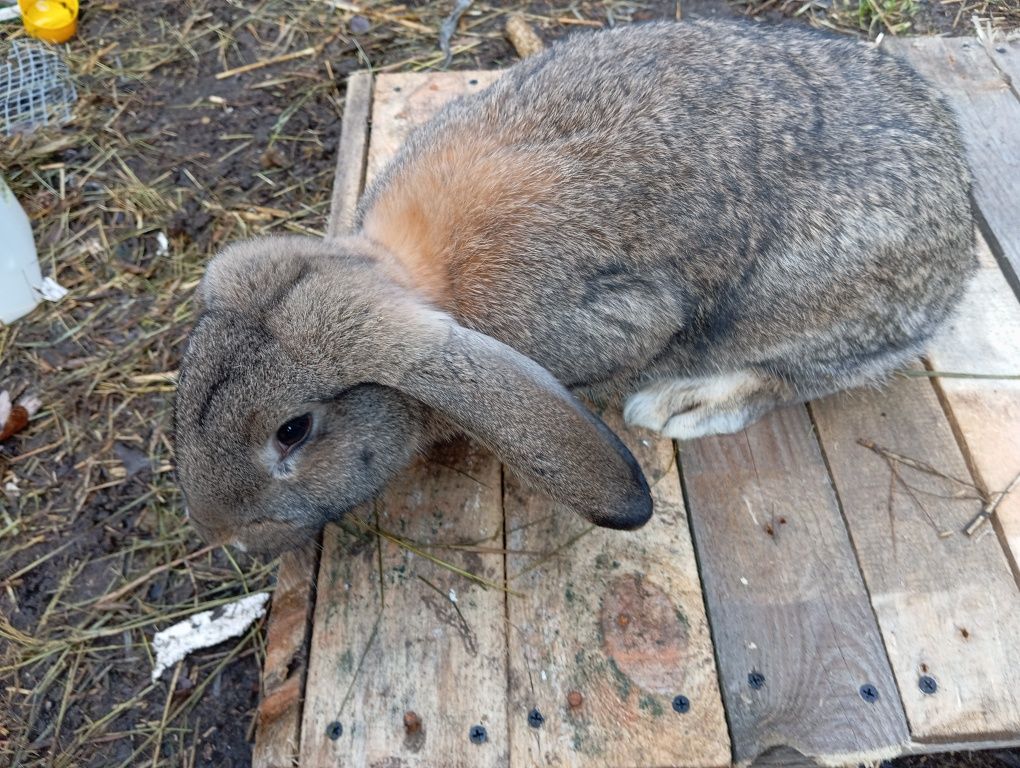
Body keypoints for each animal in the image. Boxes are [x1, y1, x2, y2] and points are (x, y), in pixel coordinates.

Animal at [171, 20, 975, 554]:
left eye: (293, 431)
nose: (221, 534)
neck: (413, 276)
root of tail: (960, 246)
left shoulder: (617, 320)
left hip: (807, 307)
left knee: (799, 377)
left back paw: (679, 404)